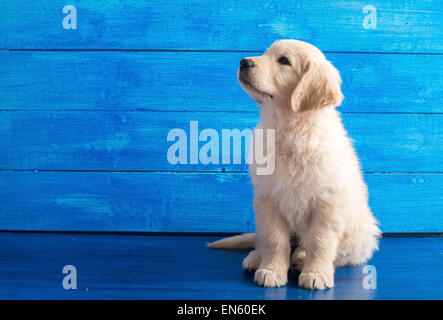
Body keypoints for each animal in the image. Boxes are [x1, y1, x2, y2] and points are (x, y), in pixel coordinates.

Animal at [209, 39, 382, 290]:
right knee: (265, 241)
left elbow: (320, 242)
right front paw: (271, 270)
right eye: (265, 53)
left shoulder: (327, 203)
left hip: (359, 234)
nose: (243, 62)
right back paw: (256, 258)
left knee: (337, 252)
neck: (289, 126)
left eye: (284, 60)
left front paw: (316, 273)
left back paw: (301, 259)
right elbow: (274, 240)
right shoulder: (268, 199)